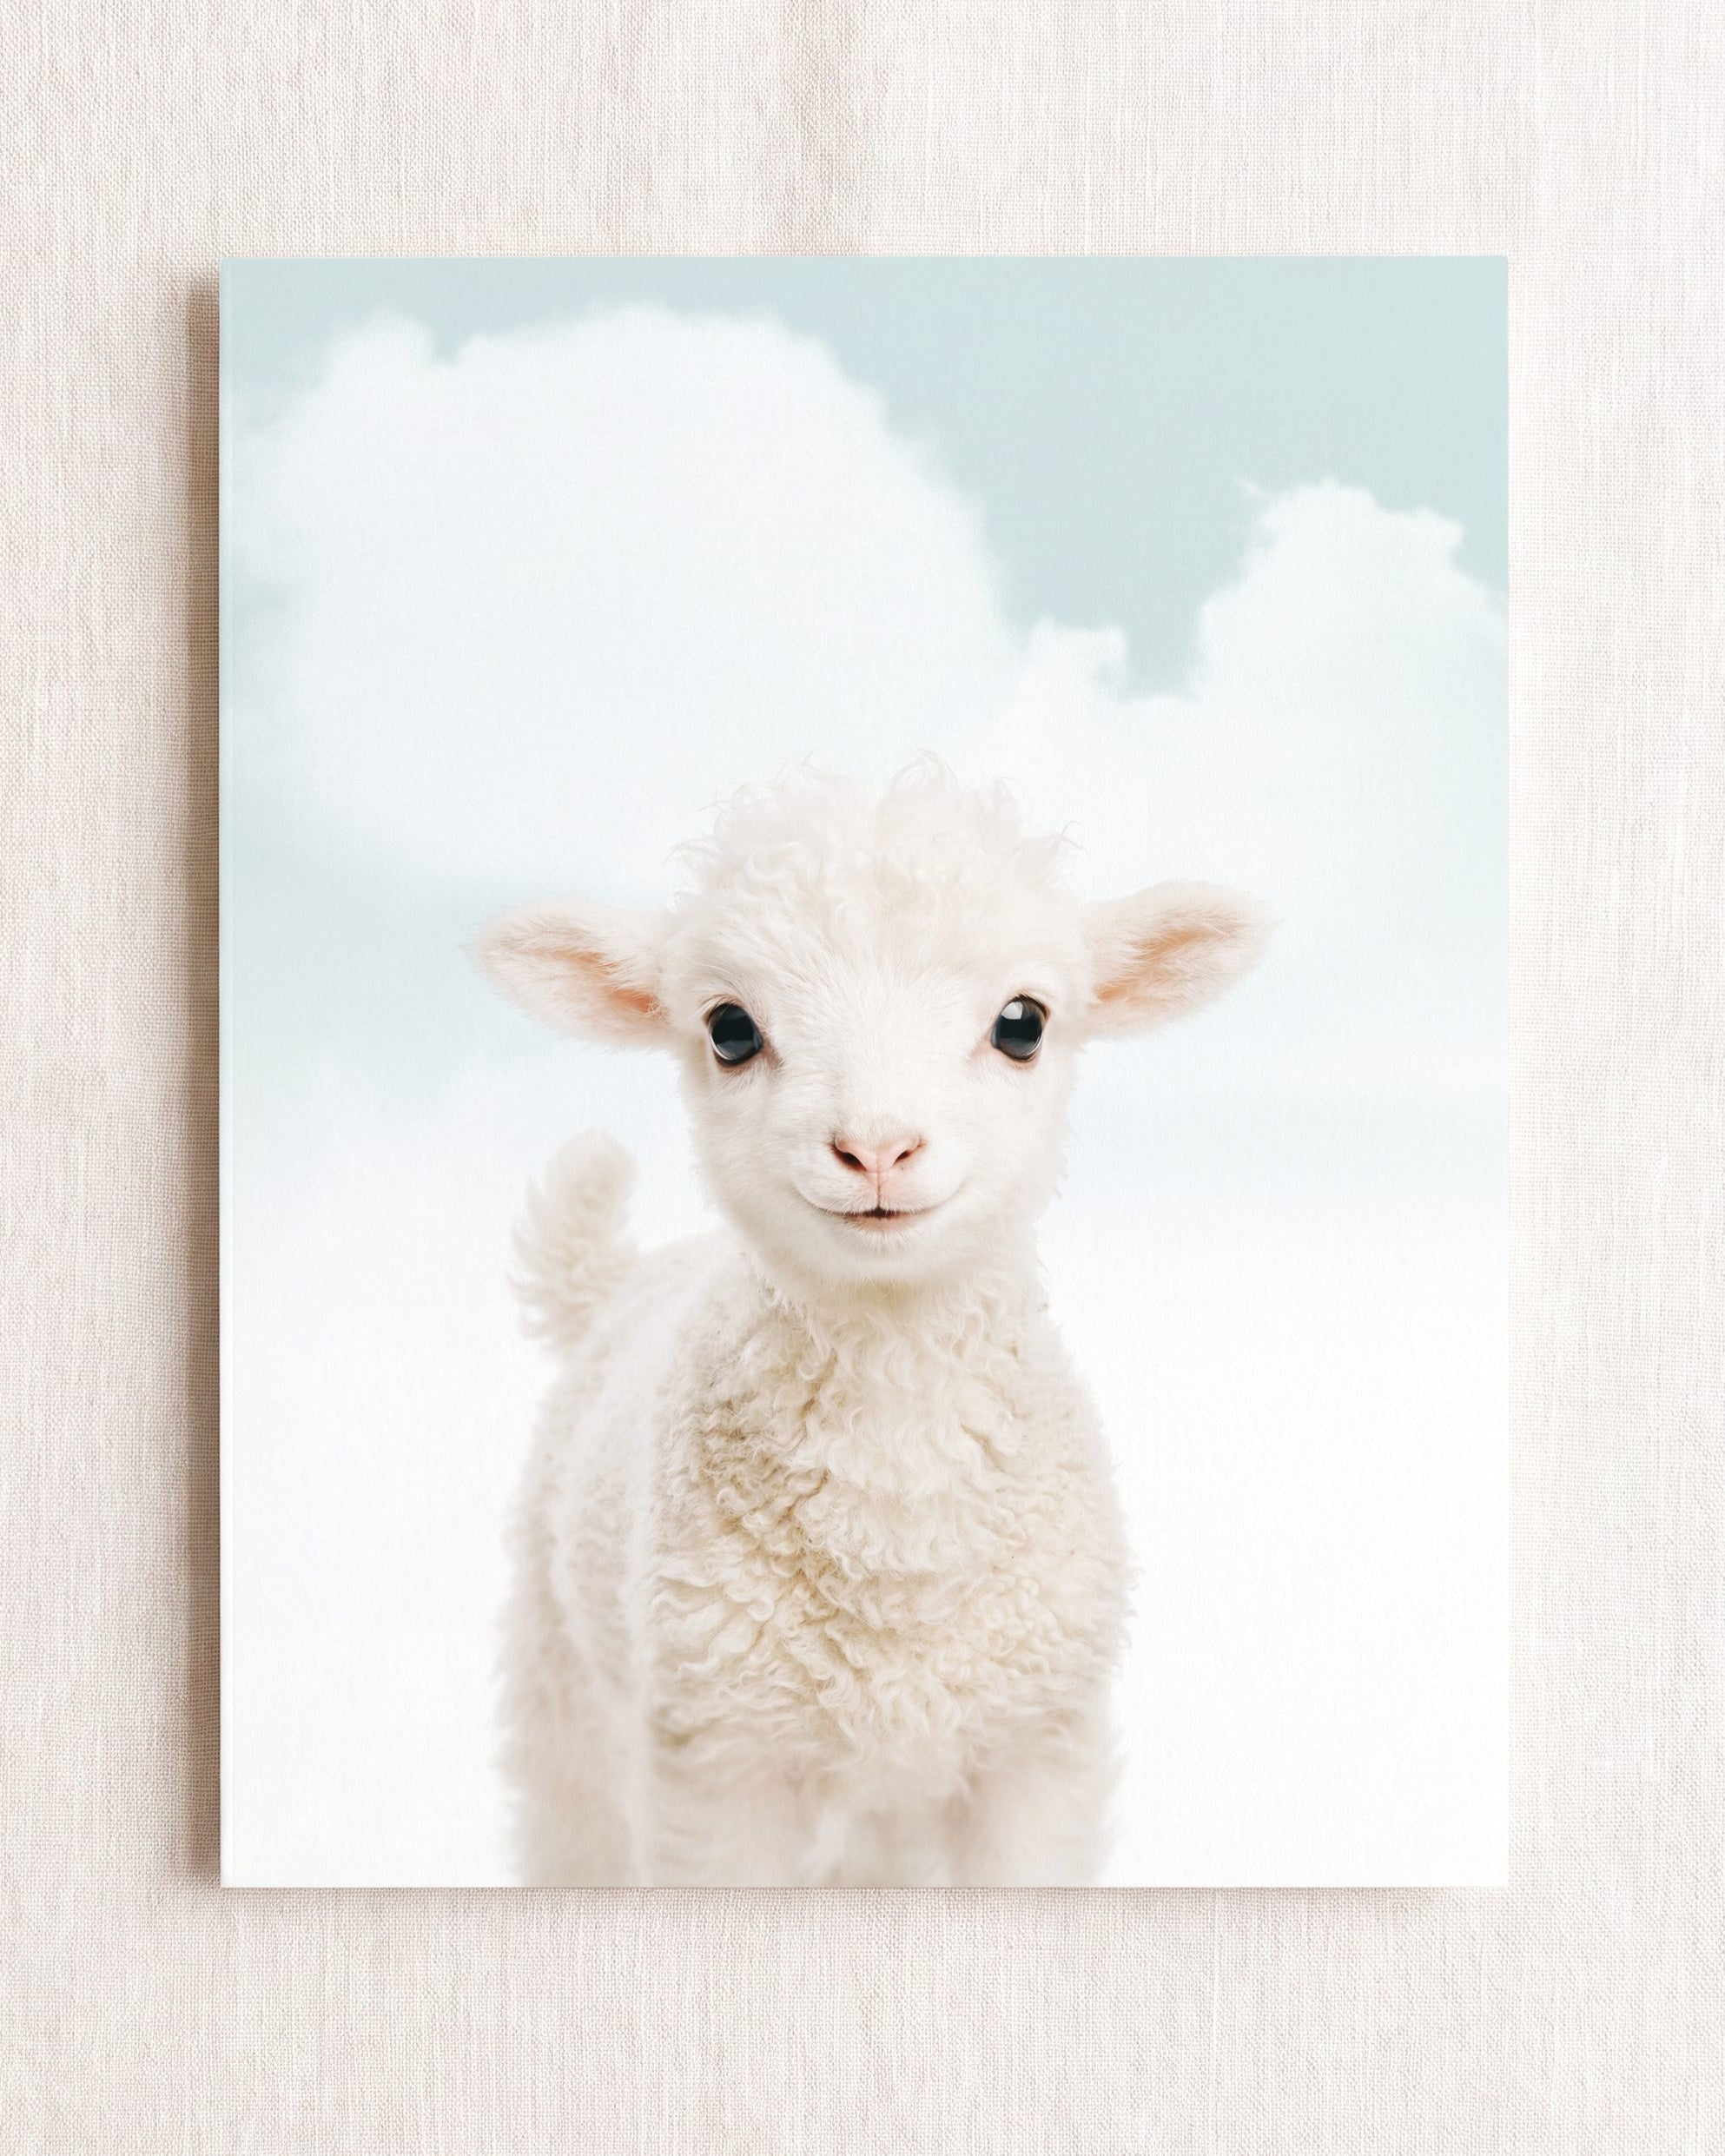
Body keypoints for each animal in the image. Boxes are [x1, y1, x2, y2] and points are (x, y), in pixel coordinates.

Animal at [481, 762, 1268, 1885]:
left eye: (1023, 1022)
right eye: (729, 1029)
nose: (878, 1148)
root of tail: (621, 1279)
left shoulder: (1037, 1750)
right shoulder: (716, 1765)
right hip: (565, 1690)